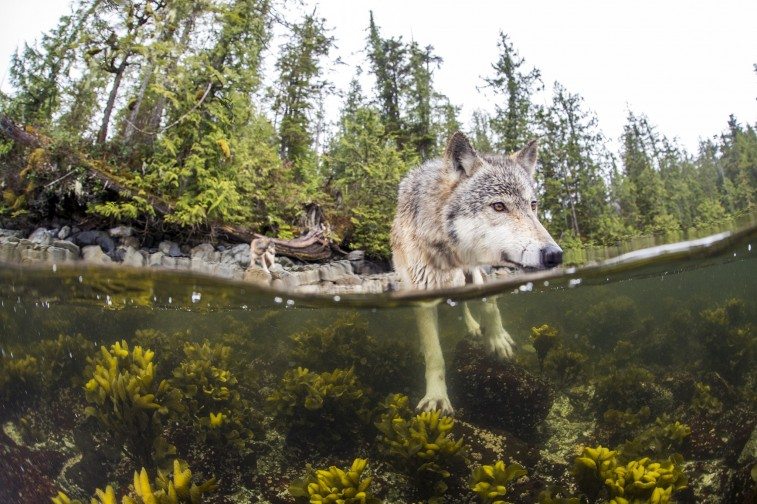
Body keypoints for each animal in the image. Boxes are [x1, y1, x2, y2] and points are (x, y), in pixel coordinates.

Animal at [390, 131, 563, 414]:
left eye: (533, 205)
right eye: (499, 206)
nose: (555, 255)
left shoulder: (483, 270)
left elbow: (490, 306)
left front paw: (497, 340)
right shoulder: (423, 294)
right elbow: (434, 354)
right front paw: (437, 397)